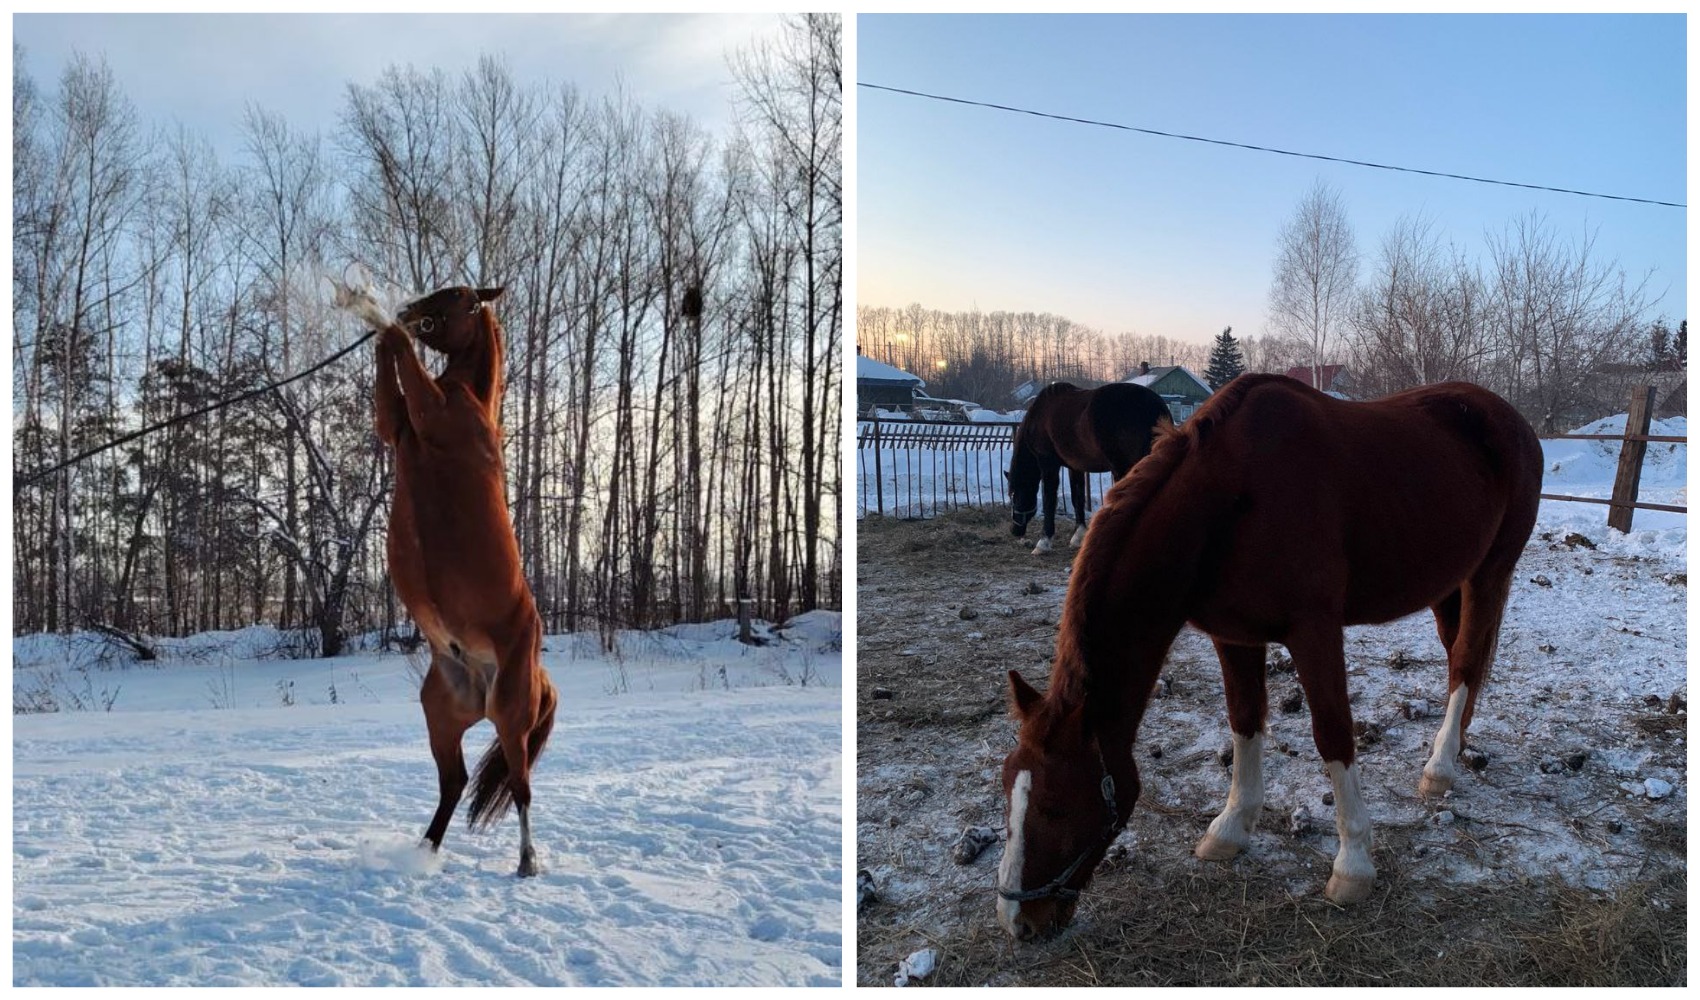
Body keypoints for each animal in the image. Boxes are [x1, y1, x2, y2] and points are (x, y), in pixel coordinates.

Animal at [341, 278, 561, 877]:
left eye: (458, 295)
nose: (414, 309)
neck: (467, 398)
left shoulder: (430, 413)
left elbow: (402, 357)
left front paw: (373, 310)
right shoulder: (395, 425)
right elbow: (386, 381)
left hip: (510, 714)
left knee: (521, 785)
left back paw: (527, 862)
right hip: (441, 713)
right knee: (454, 782)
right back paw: (423, 851)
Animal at [999, 382, 1176, 554]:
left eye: (1014, 495)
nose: (1015, 530)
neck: (1039, 416)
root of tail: (1154, 407)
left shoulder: (1048, 464)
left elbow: (1050, 499)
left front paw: (1043, 542)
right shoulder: (1075, 466)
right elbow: (1078, 496)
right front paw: (1078, 536)